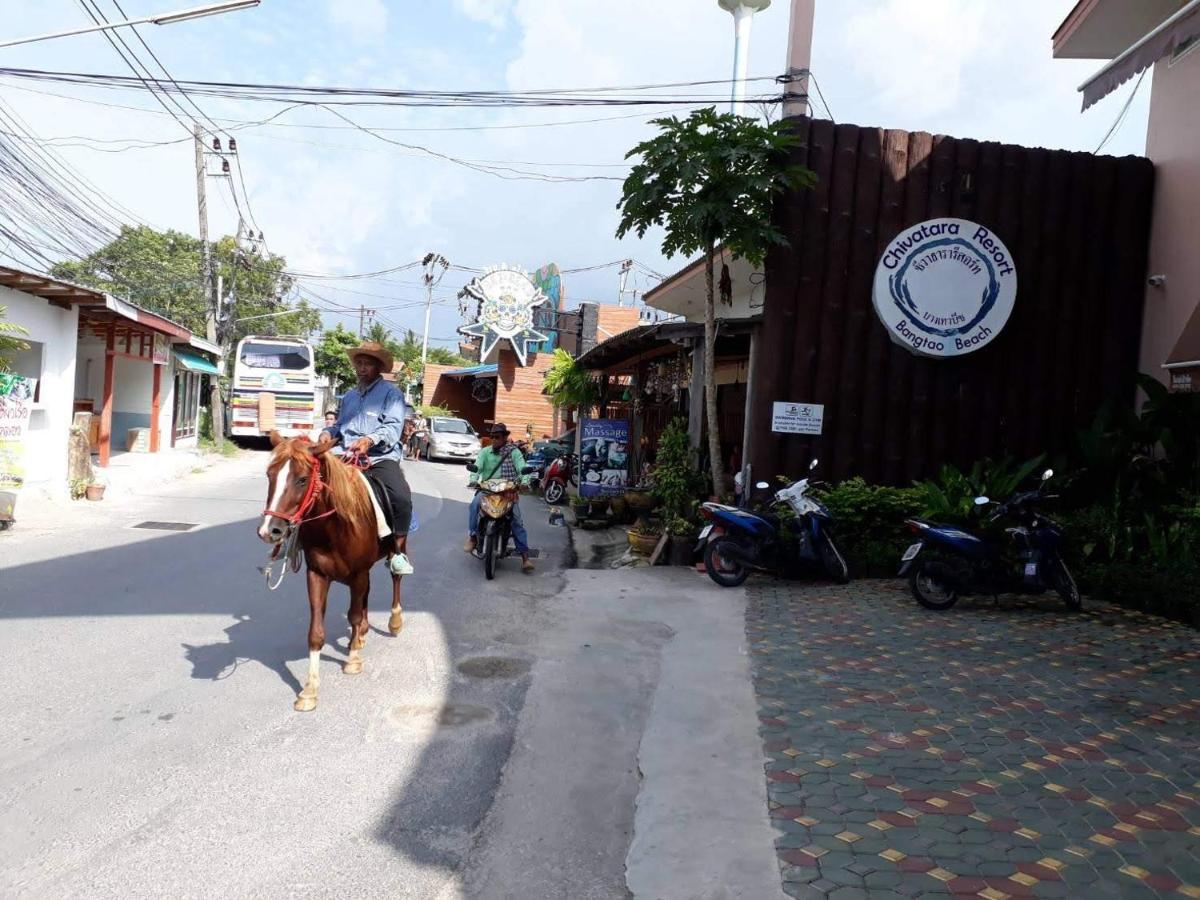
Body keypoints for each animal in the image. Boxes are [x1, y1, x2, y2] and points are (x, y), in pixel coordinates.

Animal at [258, 434, 408, 715]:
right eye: (269, 475)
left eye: (302, 479)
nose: (269, 530)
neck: (335, 526)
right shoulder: (317, 576)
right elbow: (316, 632)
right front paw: (309, 690)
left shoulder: (358, 573)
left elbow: (353, 615)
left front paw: (353, 661)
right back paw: (360, 636)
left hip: (398, 546)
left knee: (396, 579)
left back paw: (393, 622)